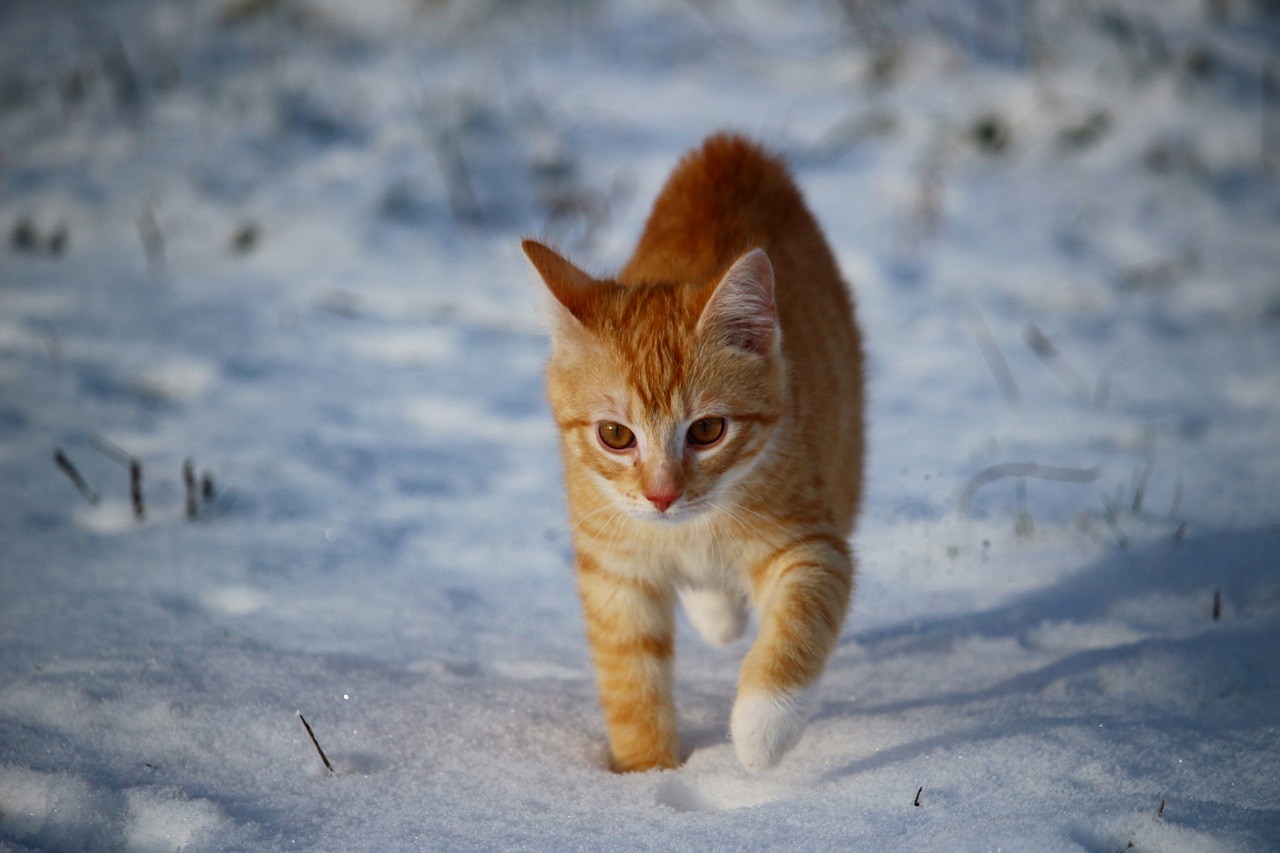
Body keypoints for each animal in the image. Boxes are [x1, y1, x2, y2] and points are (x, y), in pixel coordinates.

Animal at [524, 131, 865, 768]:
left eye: (707, 431)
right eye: (615, 435)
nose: (662, 496)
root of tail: (730, 148)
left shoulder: (813, 544)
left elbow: (800, 618)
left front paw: (761, 729)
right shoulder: (614, 569)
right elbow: (631, 678)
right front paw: (647, 773)